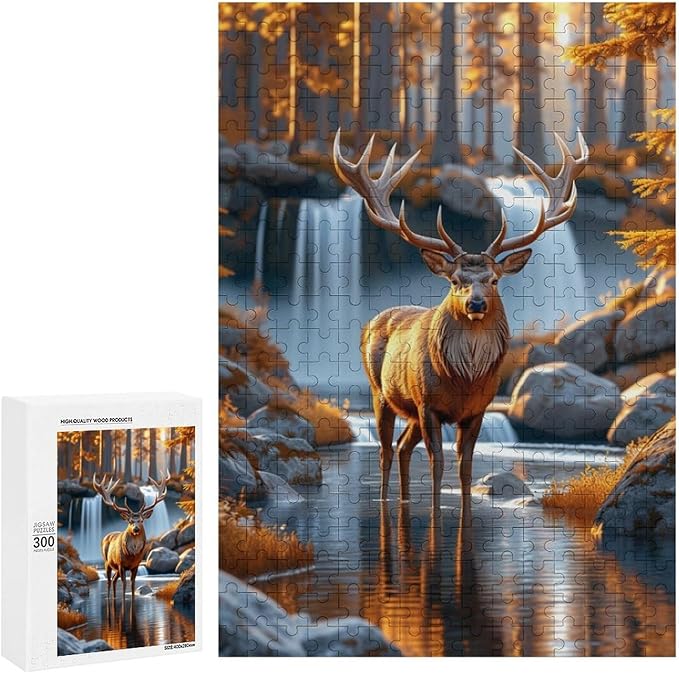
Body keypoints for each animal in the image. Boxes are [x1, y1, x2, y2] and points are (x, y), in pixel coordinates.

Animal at [333, 129, 588, 520]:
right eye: (455, 281)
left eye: (494, 279)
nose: (476, 303)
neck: (465, 377)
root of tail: (373, 320)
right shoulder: (428, 404)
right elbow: (438, 462)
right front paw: (437, 512)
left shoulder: (478, 410)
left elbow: (465, 466)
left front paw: (466, 511)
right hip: (382, 394)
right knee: (387, 450)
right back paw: (387, 502)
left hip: (409, 411)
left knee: (404, 447)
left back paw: (405, 500)